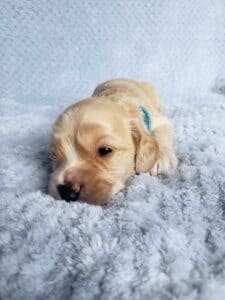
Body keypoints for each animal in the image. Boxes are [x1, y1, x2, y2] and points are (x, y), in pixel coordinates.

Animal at [48, 78, 178, 205]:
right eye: (54, 155)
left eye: (105, 150)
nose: (66, 190)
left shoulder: (161, 121)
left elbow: (162, 133)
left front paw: (161, 158)